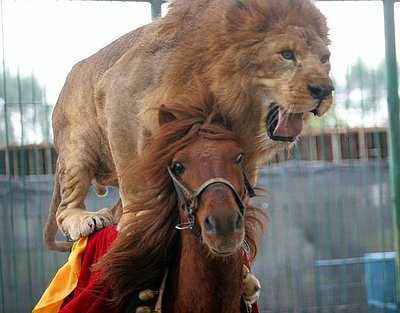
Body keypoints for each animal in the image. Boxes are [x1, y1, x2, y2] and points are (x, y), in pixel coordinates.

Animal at [43, 0, 332, 249]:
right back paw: (88, 218)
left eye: (324, 59)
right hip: (78, 151)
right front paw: (137, 223)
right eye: (287, 54)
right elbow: (133, 182)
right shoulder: (119, 93)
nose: (326, 90)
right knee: (65, 208)